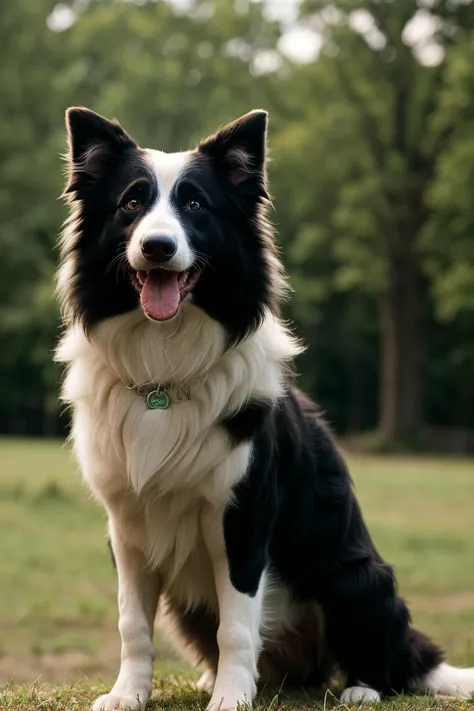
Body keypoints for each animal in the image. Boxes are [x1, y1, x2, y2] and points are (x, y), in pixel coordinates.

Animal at [56, 108, 474, 708]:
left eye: (196, 205)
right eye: (131, 203)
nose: (157, 247)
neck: (165, 369)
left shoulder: (244, 514)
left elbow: (237, 623)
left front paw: (232, 698)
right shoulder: (127, 523)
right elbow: (131, 623)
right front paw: (128, 694)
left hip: (358, 577)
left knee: (387, 659)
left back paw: (363, 686)